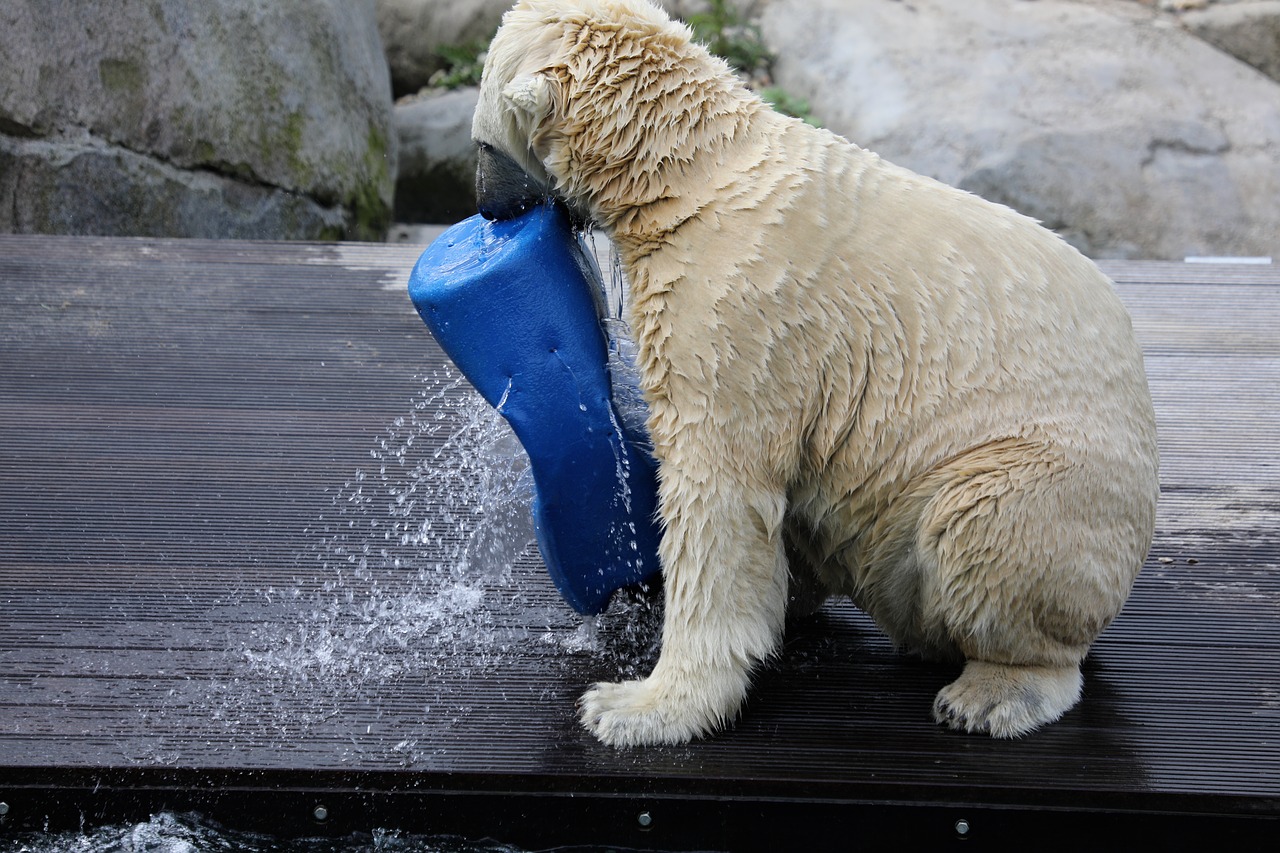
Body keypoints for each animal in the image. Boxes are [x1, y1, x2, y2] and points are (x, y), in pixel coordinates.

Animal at [471, 0, 1162, 742]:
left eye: (482, 146)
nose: (487, 209)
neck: (690, 172)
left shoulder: (737, 311)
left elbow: (716, 491)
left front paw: (635, 706)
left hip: (1043, 480)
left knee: (981, 521)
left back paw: (993, 693)